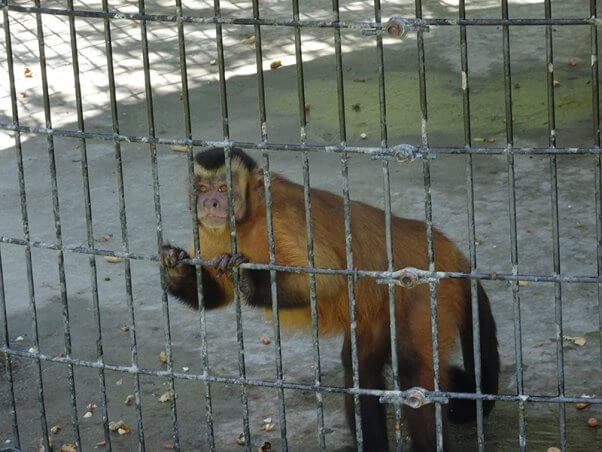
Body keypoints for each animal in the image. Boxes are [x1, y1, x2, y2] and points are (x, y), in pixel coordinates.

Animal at [158, 147, 496, 448]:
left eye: (223, 188)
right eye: (202, 189)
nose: (210, 202)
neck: (248, 220)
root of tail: (447, 248)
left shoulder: (282, 218)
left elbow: (324, 280)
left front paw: (248, 280)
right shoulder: (210, 232)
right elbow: (216, 296)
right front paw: (175, 267)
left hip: (424, 292)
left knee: (416, 372)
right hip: (377, 311)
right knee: (360, 367)